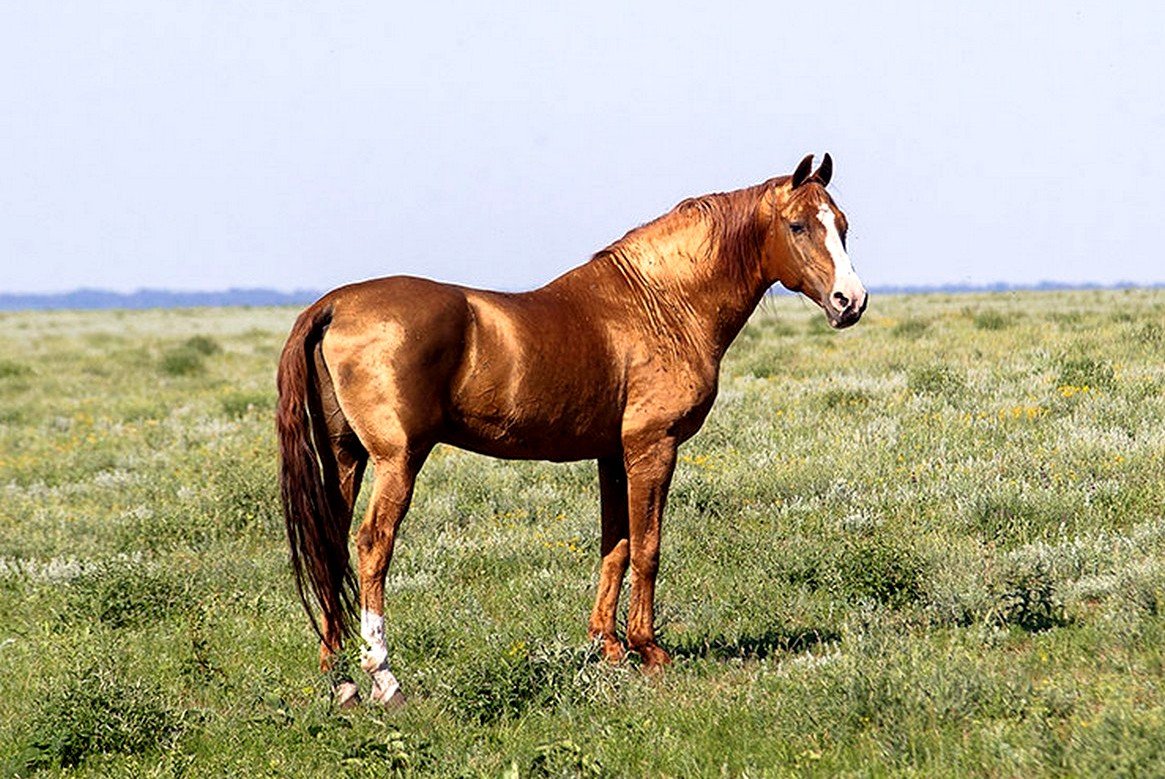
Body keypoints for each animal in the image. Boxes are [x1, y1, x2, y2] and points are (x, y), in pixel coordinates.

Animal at [277, 151, 871, 703]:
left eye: (842, 224)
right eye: (798, 225)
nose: (851, 302)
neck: (660, 305)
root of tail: (333, 305)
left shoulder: (612, 454)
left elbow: (617, 545)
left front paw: (607, 646)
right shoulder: (653, 447)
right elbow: (648, 546)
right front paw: (649, 650)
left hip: (346, 457)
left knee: (330, 543)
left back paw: (340, 678)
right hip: (396, 460)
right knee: (372, 545)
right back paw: (383, 676)